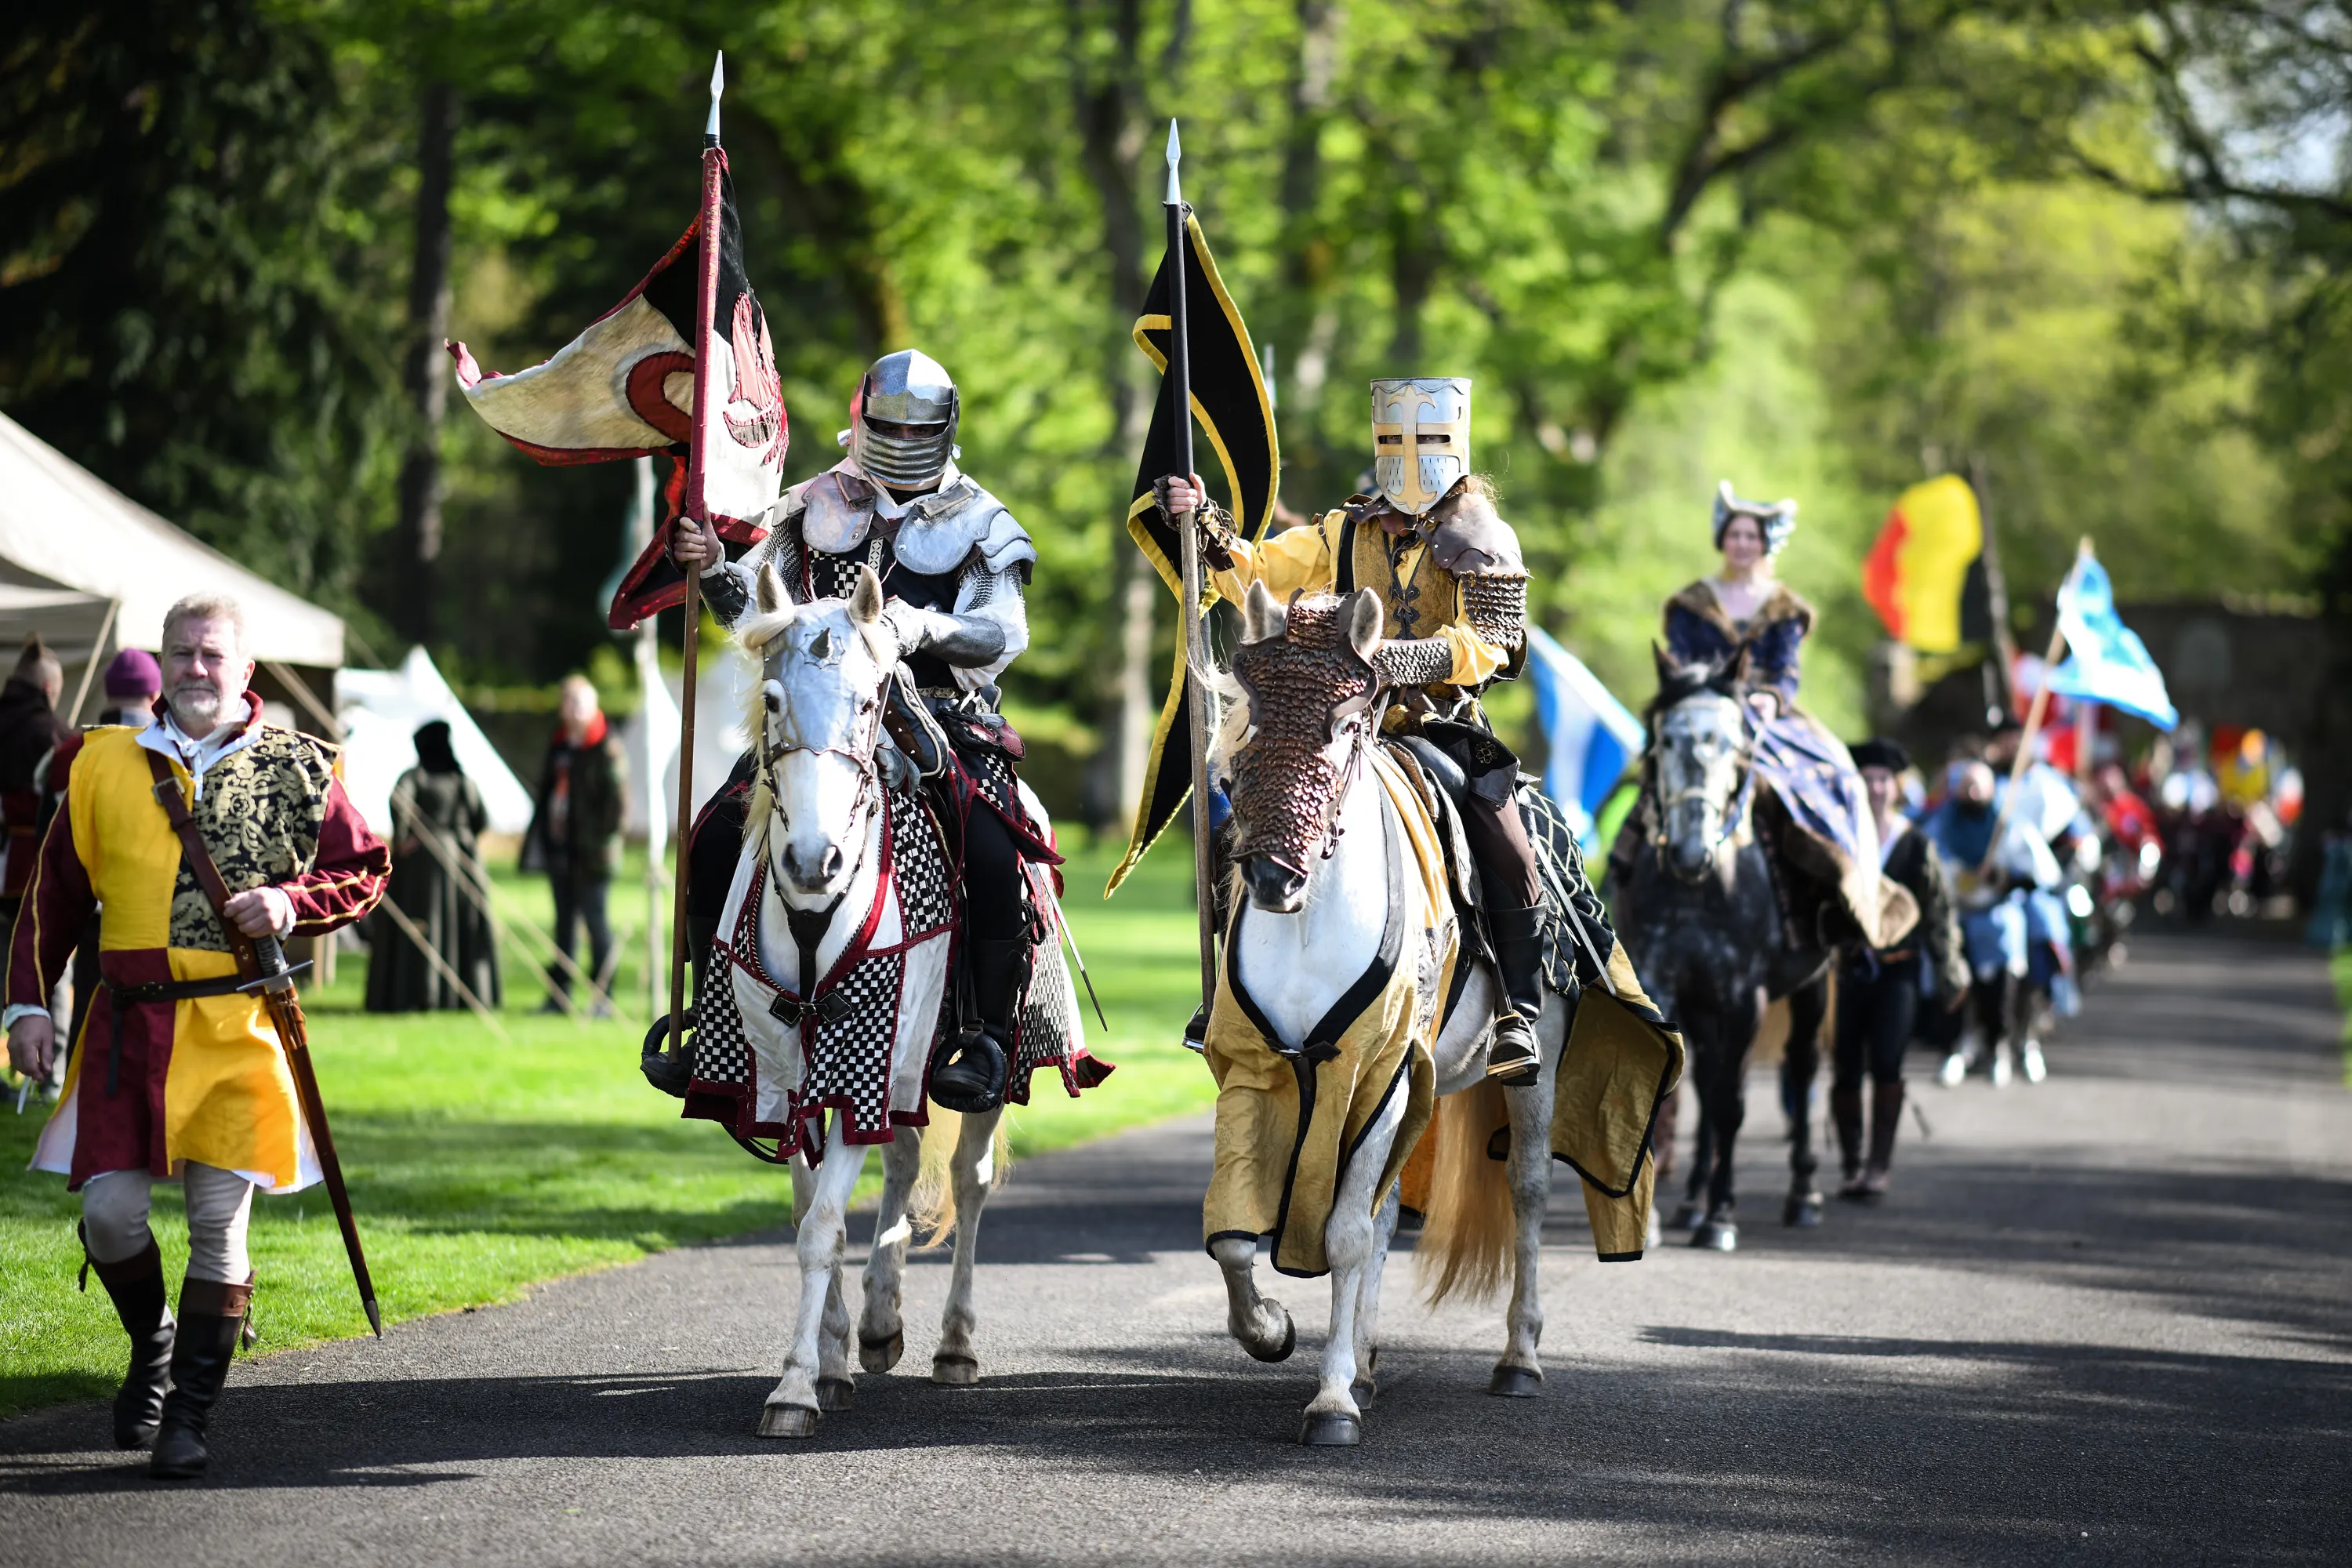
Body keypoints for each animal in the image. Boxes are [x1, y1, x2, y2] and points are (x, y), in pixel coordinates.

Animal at [724, 561, 1030, 1439]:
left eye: (869, 701)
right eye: (771, 698)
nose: (813, 861)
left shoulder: (862, 1059)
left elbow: (824, 1225)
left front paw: (794, 1388)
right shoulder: (787, 1073)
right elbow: (808, 1217)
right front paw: (827, 1361)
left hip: (971, 1066)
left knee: (970, 1178)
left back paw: (955, 1343)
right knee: (902, 1156)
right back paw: (882, 1322)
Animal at [1204, 585, 1571, 1448]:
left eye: (1345, 724)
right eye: (1253, 719)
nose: (1271, 877)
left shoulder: (1380, 1065)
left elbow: (1343, 1235)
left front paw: (1332, 1400)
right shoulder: (1256, 1067)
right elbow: (1235, 1234)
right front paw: (1270, 1329)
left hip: (1526, 1066)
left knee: (1528, 1190)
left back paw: (1518, 1357)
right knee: (1386, 1208)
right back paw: (1369, 1361)